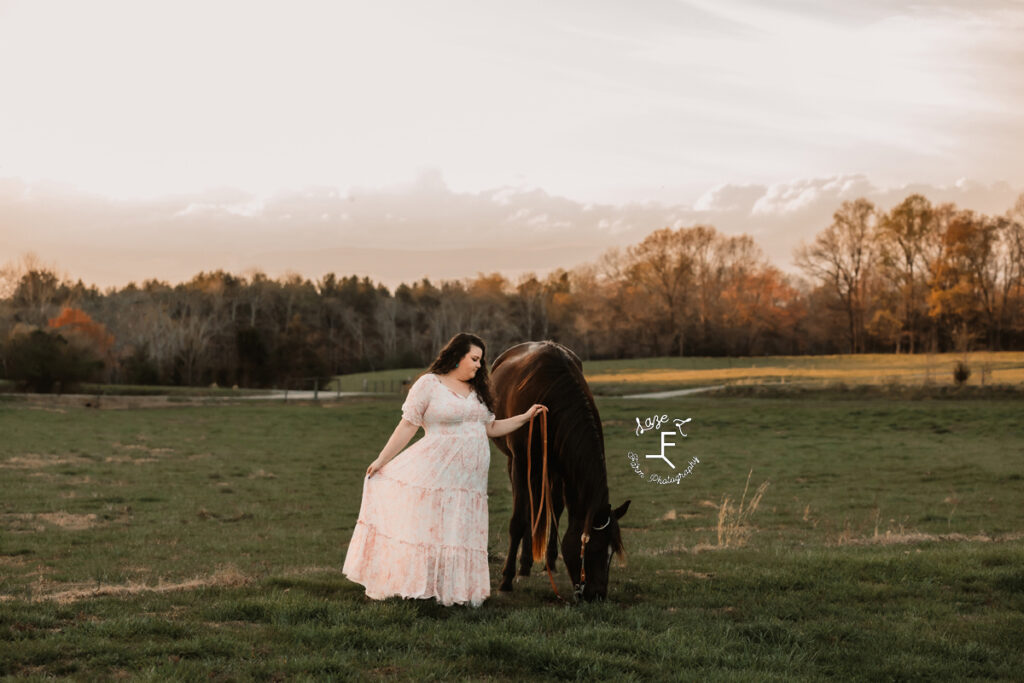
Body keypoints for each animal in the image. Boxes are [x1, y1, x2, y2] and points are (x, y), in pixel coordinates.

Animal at [489, 339, 626, 602]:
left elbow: (556, 508)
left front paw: (547, 560)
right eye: (592, 548)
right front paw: (506, 580)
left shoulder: (563, 466)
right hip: (520, 464)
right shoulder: (522, 463)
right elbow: (518, 520)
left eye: (611, 553)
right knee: (529, 508)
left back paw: (542, 562)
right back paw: (522, 567)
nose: (597, 595)